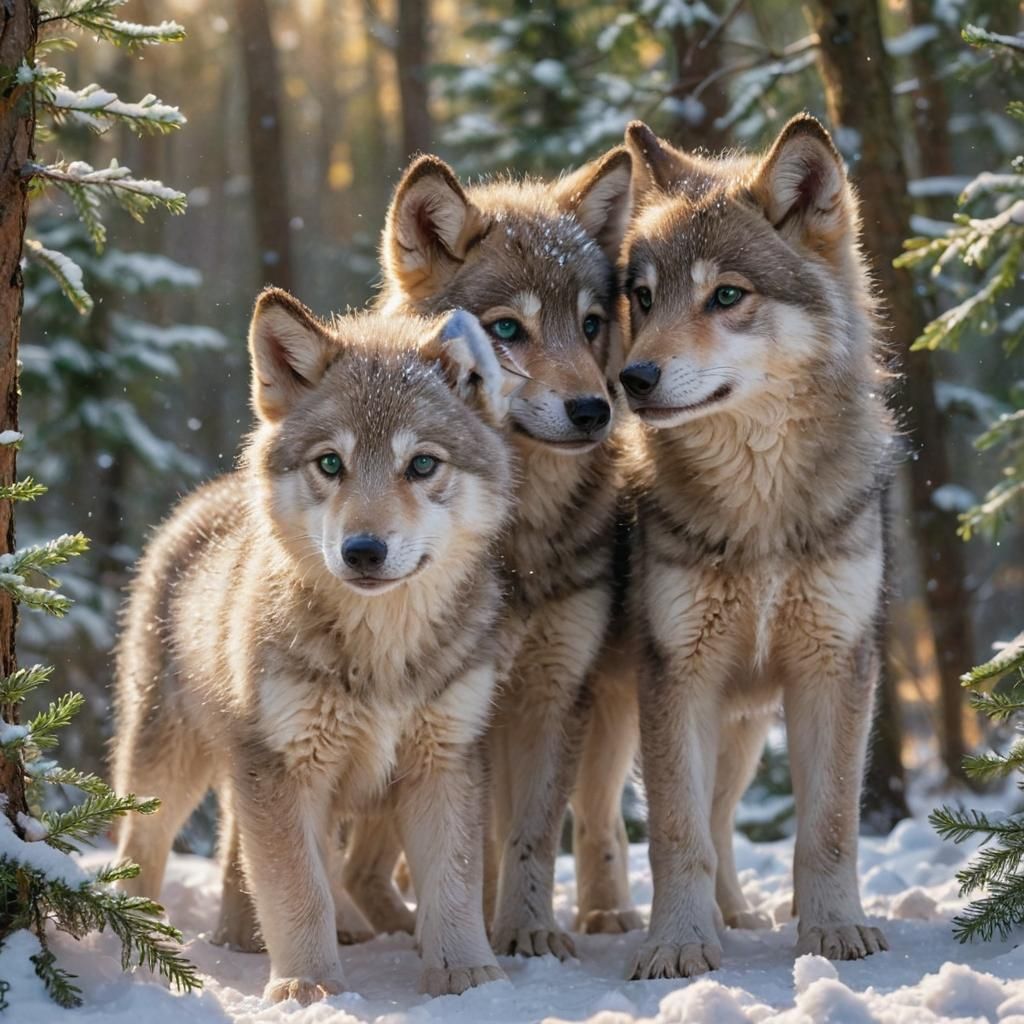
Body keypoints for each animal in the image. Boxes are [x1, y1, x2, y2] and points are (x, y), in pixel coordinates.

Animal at [111, 290, 518, 1003]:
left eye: (422, 464)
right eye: (331, 463)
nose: (363, 551)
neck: (382, 650)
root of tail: (208, 495)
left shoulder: (443, 761)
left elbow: (455, 885)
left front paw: (469, 977)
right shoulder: (284, 767)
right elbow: (298, 890)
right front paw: (310, 988)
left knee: (239, 849)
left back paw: (251, 935)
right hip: (170, 755)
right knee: (144, 838)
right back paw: (146, 937)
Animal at [339, 148, 643, 956]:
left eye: (591, 324)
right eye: (507, 328)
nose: (593, 409)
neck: (520, 537)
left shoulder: (550, 690)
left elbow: (531, 834)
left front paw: (529, 936)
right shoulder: (466, 709)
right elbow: (467, 852)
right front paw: (473, 939)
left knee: (600, 819)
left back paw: (608, 916)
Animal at [617, 115, 893, 979]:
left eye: (727, 296)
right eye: (643, 298)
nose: (633, 379)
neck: (761, 511)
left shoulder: (836, 668)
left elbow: (829, 827)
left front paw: (834, 931)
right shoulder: (675, 679)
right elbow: (676, 834)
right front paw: (676, 944)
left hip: (743, 726)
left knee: (727, 816)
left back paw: (739, 914)